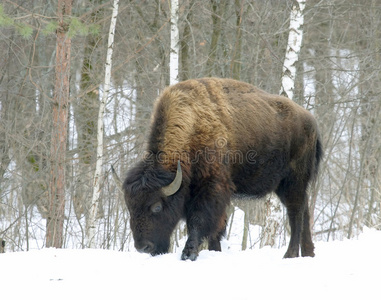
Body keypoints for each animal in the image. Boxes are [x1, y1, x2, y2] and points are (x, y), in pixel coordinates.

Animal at [124, 77, 320, 260]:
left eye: (156, 207)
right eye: (130, 208)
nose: (143, 247)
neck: (192, 124)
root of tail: (311, 121)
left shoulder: (211, 188)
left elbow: (199, 220)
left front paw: (189, 253)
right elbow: (216, 227)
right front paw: (214, 250)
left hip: (294, 180)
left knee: (296, 213)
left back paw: (290, 254)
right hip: (284, 186)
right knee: (304, 211)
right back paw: (308, 253)